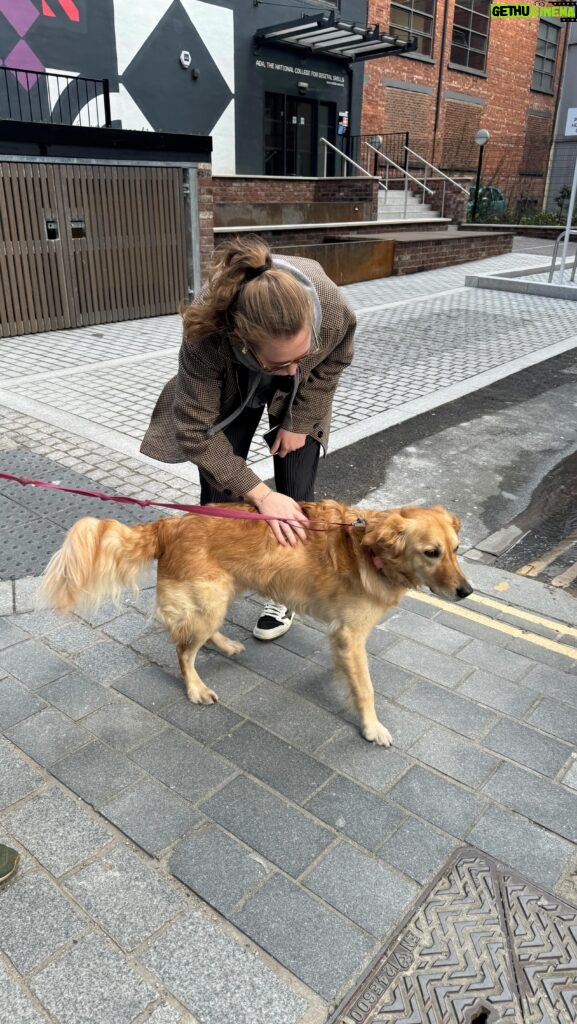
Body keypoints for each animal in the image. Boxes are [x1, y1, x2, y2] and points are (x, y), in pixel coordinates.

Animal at [40, 501, 473, 749]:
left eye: (456, 550)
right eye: (431, 552)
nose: (467, 591)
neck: (370, 549)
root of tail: (169, 524)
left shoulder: (342, 635)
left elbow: (348, 671)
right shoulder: (351, 633)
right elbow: (365, 688)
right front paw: (371, 727)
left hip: (221, 593)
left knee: (196, 638)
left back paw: (225, 645)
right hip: (210, 599)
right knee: (183, 650)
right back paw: (195, 687)